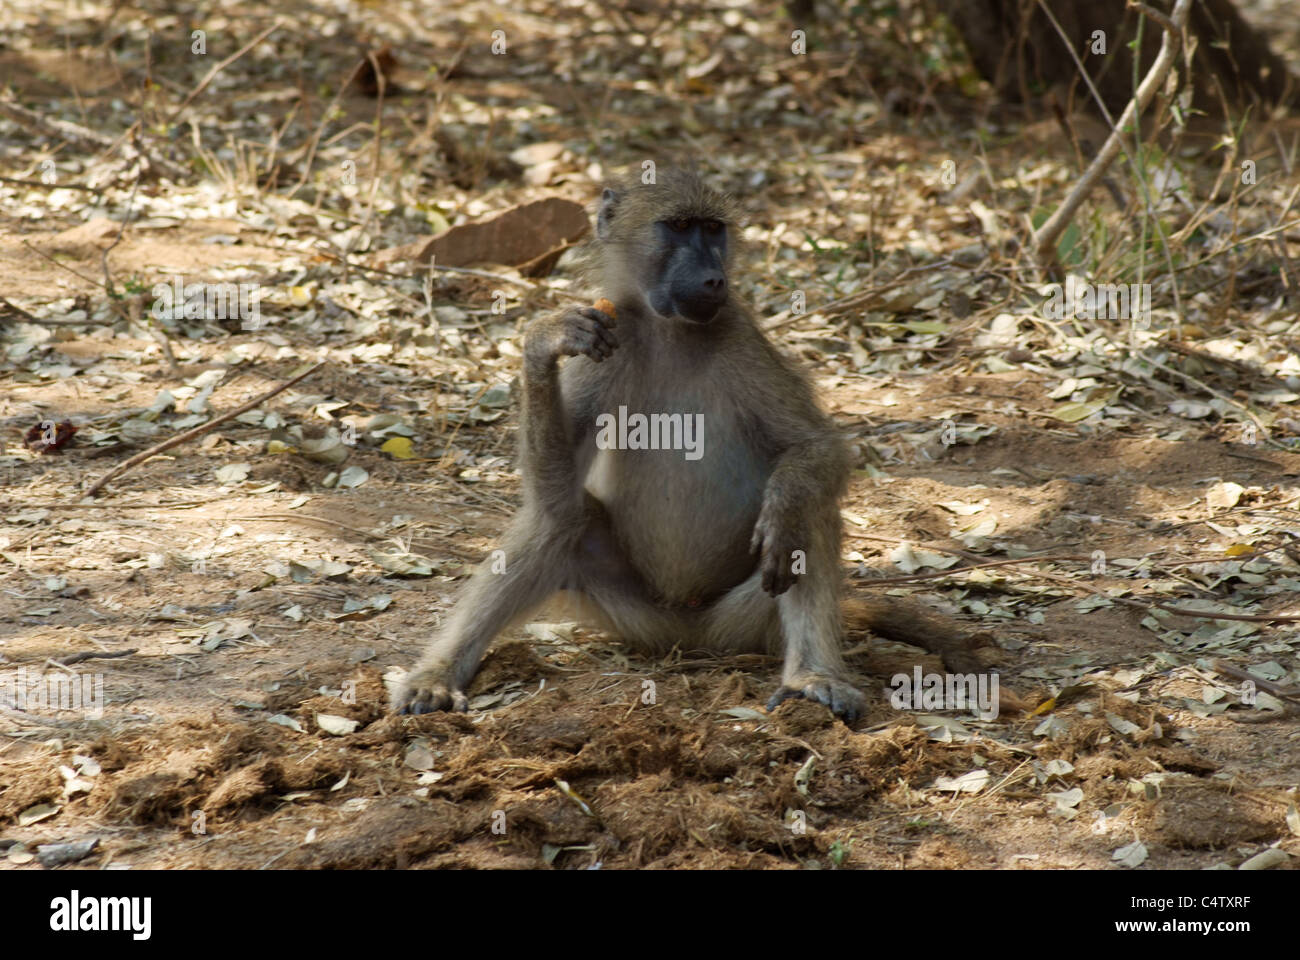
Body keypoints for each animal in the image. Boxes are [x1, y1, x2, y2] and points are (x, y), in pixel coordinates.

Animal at [393, 167, 981, 721]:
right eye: (677, 227)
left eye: (713, 229)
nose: (713, 277)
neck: (669, 329)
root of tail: (689, 633)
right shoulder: (607, 340)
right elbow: (552, 491)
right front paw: (542, 343)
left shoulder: (744, 340)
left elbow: (816, 451)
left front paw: (782, 511)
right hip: (636, 616)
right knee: (558, 519)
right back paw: (437, 676)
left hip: (743, 621)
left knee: (810, 514)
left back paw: (812, 676)